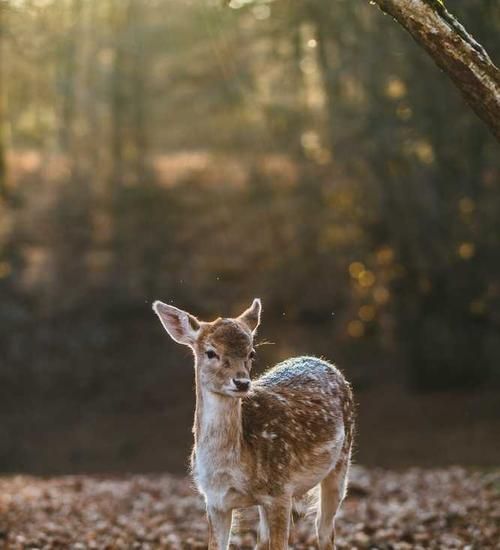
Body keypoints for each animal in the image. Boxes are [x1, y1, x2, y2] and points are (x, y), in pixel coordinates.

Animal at [153, 300, 356, 548]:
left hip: (342, 460)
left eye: (251, 353)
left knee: (324, 529)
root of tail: (321, 361)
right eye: (210, 352)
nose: (241, 382)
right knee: (263, 538)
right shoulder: (215, 501)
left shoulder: (281, 490)